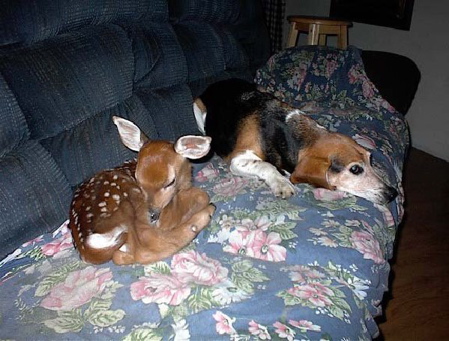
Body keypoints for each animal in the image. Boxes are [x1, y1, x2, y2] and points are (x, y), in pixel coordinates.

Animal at [194, 78, 398, 203]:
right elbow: (265, 165)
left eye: (370, 160)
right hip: (197, 106)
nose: (392, 193)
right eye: (355, 169)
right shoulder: (238, 159)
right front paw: (281, 183)